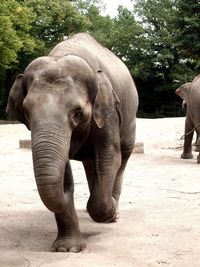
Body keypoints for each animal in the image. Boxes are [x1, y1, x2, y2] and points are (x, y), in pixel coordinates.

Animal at [5, 33, 138, 253]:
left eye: (78, 113)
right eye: (27, 112)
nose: (66, 192)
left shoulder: (108, 113)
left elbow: (109, 156)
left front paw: (108, 211)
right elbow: (64, 169)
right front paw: (67, 249)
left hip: (130, 120)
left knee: (122, 158)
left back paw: (114, 212)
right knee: (91, 163)